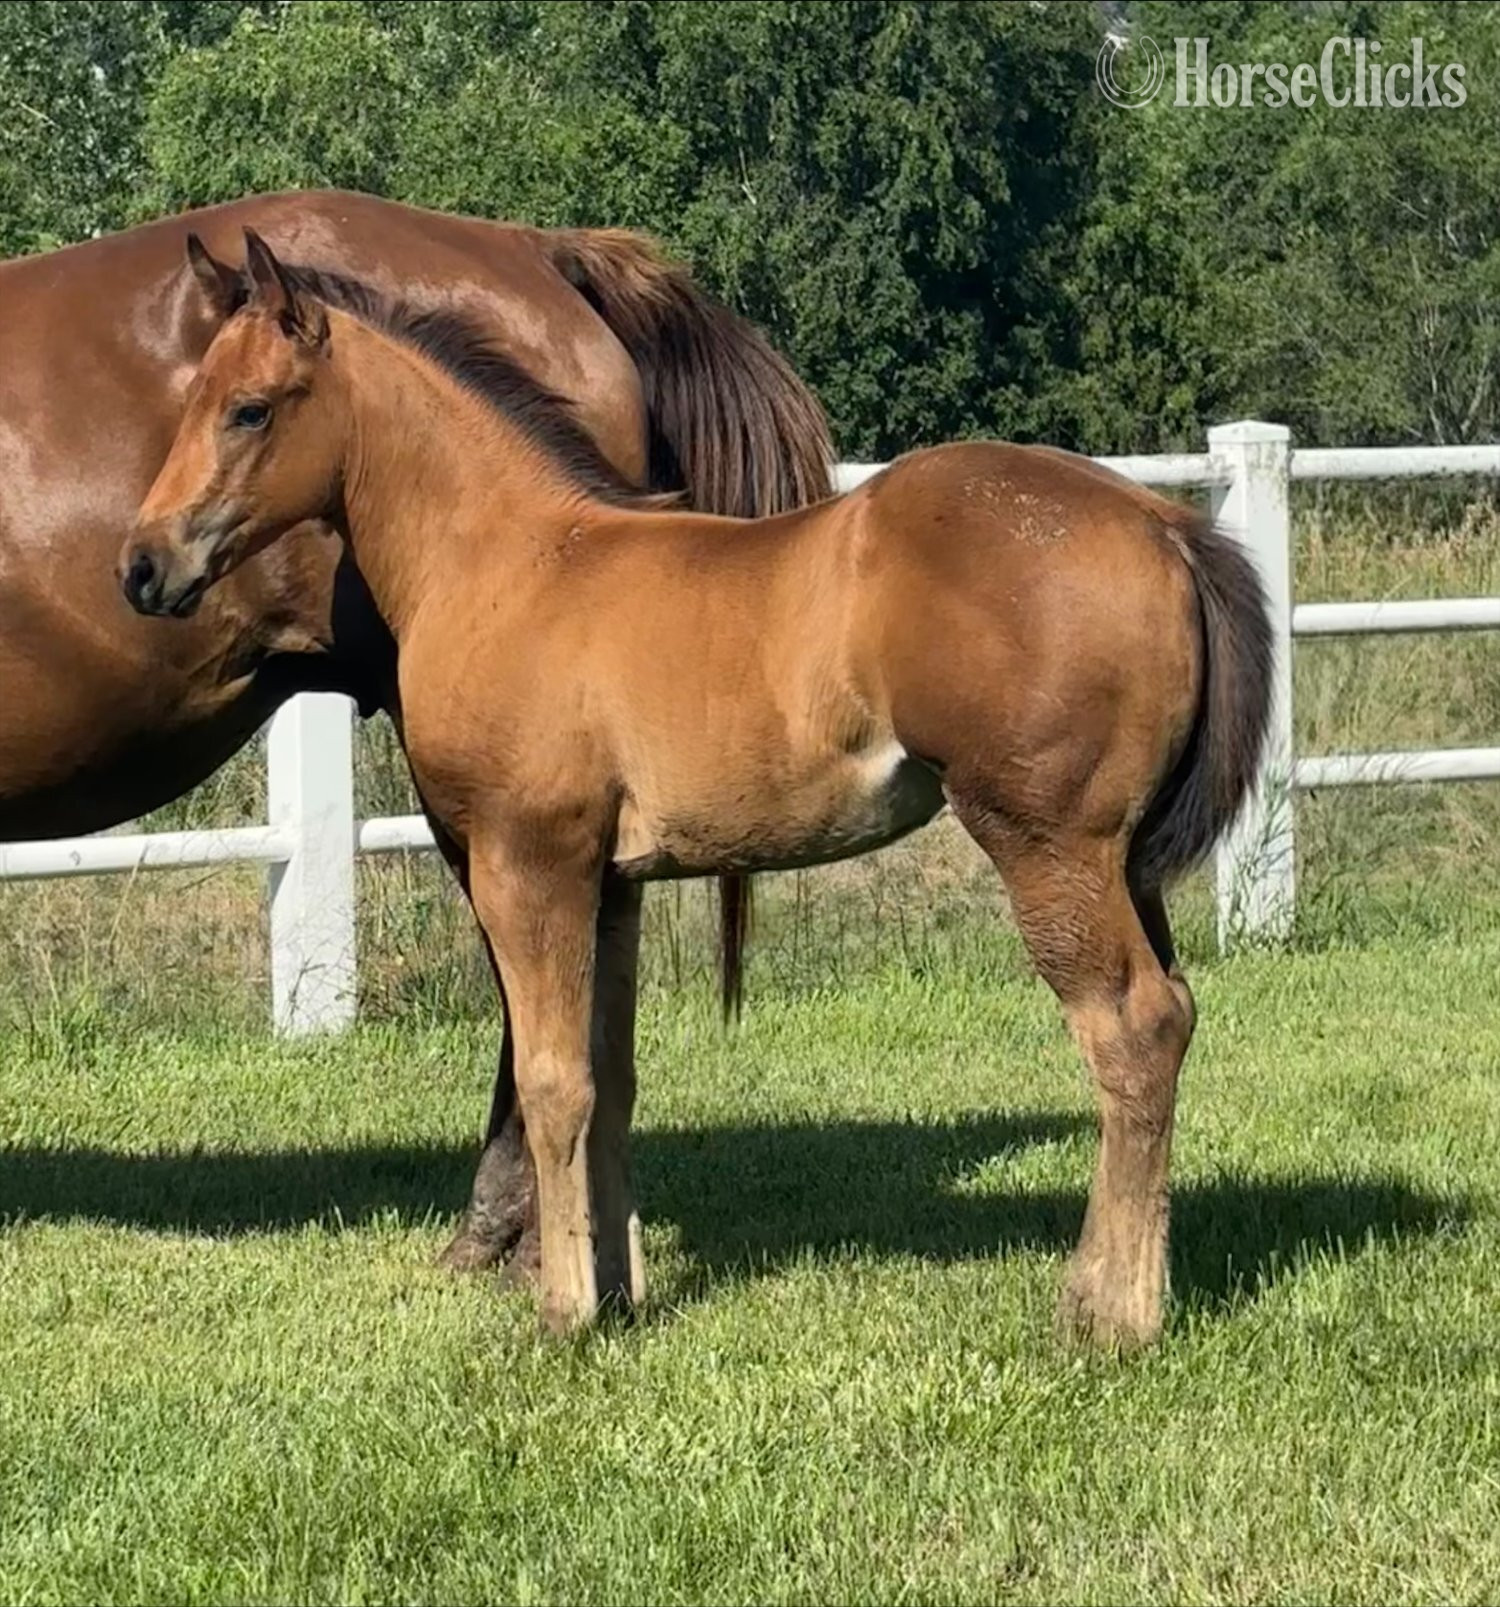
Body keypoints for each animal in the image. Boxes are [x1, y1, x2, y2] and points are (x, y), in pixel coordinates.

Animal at [124, 231, 1273, 1348]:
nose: (141, 566)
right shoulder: (612, 881)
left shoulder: (527, 860)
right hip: (1127, 864)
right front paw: (621, 1292)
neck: (514, 562)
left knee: (1132, 1027)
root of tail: (1164, 526)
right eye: (188, 402)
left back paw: (1110, 1320)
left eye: (250, 408)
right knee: (1173, 1014)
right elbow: (613, 1080)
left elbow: (552, 1080)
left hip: (1049, 845)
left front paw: (563, 1316)